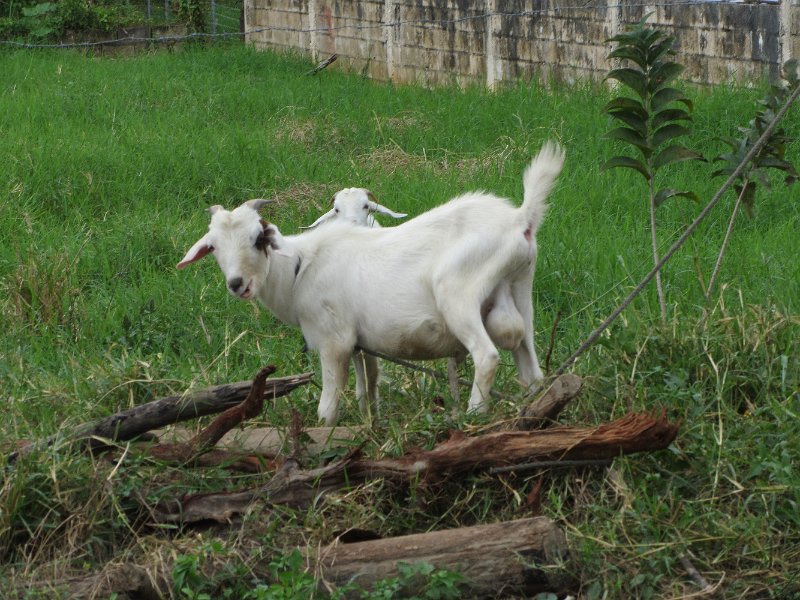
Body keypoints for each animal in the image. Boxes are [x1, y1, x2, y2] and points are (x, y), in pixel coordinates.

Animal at [177, 142, 564, 425]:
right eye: (213, 246)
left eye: (259, 237)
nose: (237, 283)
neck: (299, 268)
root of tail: (521, 218)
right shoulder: (362, 343)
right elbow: (368, 387)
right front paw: (369, 421)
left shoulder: (334, 340)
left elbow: (328, 406)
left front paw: (326, 433)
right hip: (520, 288)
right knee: (530, 366)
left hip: (459, 293)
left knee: (487, 356)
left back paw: (472, 417)